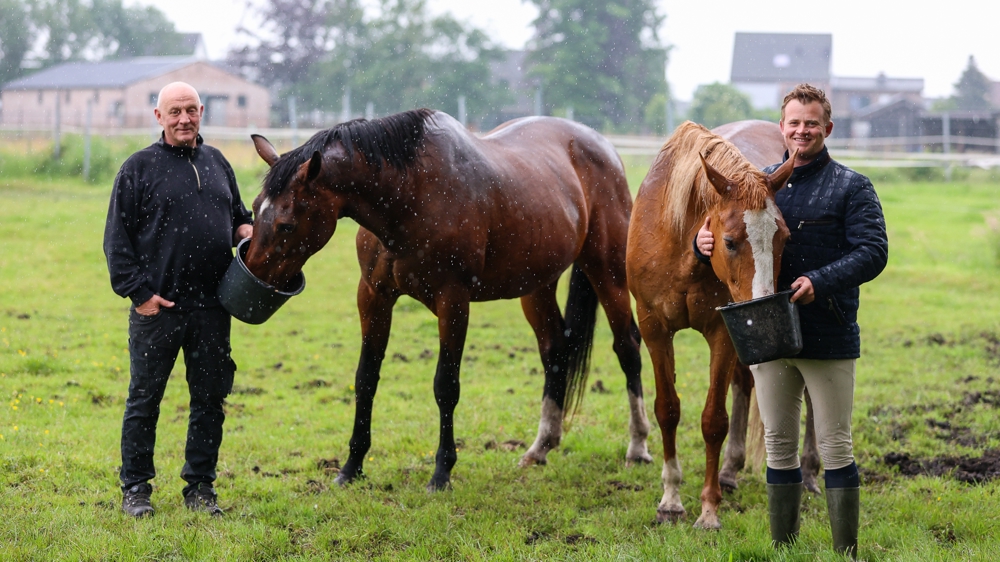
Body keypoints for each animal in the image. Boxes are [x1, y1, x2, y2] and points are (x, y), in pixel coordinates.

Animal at [244, 108, 656, 486]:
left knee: (627, 347)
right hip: (538, 284)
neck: (408, 194)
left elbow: (446, 385)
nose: (254, 276)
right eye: (253, 208)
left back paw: (638, 447)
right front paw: (351, 468)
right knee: (555, 350)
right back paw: (540, 448)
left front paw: (442, 471)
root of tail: (603, 146)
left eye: (286, 224)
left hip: (607, 272)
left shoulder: (453, 301)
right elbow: (366, 379)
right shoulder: (373, 296)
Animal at [628, 120, 816, 528]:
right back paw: (730, 470)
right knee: (744, 383)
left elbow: (714, 420)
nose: (763, 301)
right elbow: (668, 410)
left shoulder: (722, 334)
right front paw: (671, 499)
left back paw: (810, 471)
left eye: (784, 237)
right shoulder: (653, 328)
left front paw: (709, 509)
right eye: (729, 241)